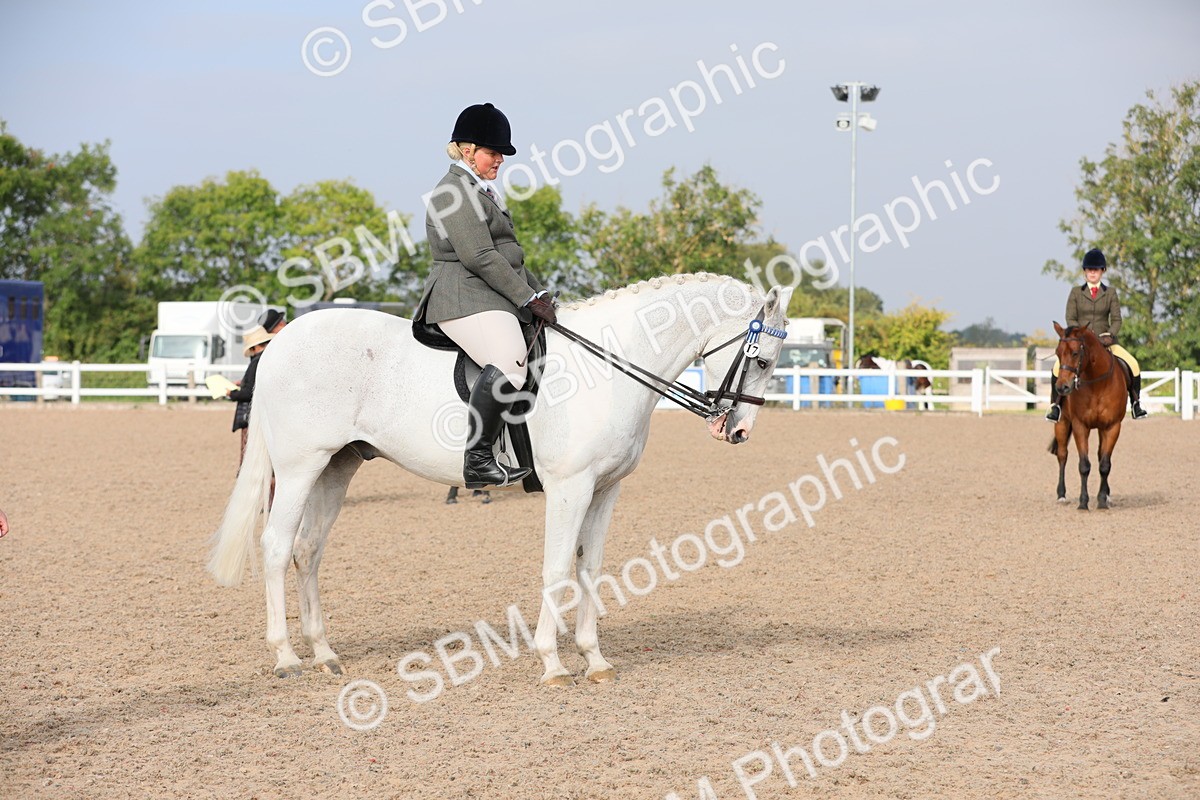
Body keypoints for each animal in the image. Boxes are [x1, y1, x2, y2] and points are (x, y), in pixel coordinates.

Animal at [208, 274, 794, 684]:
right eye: (764, 361)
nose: (738, 430)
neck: (609, 367)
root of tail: (281, 345)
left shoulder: (605, 489)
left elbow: (590, 568)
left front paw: (595, 659)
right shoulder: (570, 487)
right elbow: (557, 569)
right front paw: (552, 662)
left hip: (337, 467)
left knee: (309, 550)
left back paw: (325, 654)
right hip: (300, 467)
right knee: (277, 546)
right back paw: (287, 657)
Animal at [1048, 322, 1127, 510]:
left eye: (1075, 353)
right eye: (1057, 352)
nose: (1062, 387)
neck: (1097, 383)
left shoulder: (1112, 426)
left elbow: (1105, 464)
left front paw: (1102, 501)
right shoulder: (1080, 426)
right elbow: (1084, 465)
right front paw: (1083, 503)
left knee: (1100, 456)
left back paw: (1107, 495)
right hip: (1061, 423)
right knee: (1062, 455)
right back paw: (1061, 495)